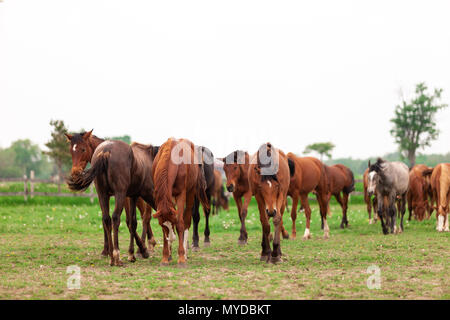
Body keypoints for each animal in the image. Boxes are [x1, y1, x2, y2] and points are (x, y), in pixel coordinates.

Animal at [66, 130, 159, 264]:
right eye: (71, 150)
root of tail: (106, 152)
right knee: (142, 216)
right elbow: (106, 219)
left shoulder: (124, 197)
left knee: (145, 217)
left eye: (83, 149)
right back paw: (147, 245)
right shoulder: (106, 195)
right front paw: (107, 251)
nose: (75, 173)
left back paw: (144, 247)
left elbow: (128, 221)